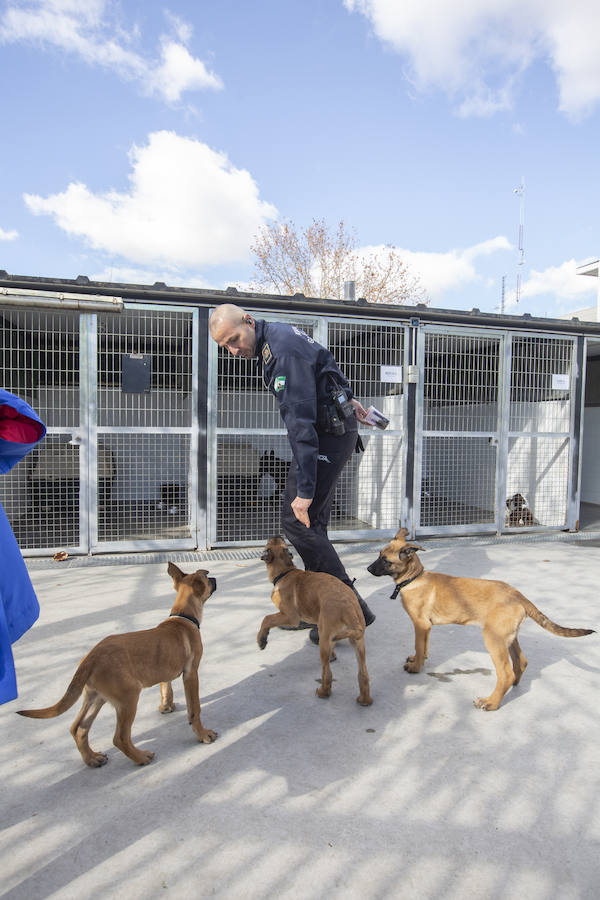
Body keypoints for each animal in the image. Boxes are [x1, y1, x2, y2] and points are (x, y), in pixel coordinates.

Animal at [15, 564, 218, 768]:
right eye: (207, 579)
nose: (215, 579)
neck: (182, 617)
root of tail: (91, 657)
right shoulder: (191, 673)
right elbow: (195, 709)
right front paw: (203, 735)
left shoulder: (166, 670)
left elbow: (165, 687)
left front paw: (166, 706)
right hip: (128, 698)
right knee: (119, 737)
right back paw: (141, 757)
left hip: (96, 697)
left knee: (78, 728)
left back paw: (92, 759)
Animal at [256, 536, 370, 704]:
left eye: (269, 545)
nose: (277, 534)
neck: (285, 571)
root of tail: (348, 606)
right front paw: (333, 655)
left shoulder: (290, 616)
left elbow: (267, 619)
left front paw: (262, 640)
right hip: (358, 643)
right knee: (363, 675)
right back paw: (365, 700)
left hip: (327, 638)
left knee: (327, 674)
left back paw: (323, 692)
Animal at [368, 528, 592, 712]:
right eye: (378, 555)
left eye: (386, 561)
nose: (368, 570)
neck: (414, 578)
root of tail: (519, 595)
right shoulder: (426, 627)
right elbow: (423, 648)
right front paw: (417, 659)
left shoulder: (420, 624)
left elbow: (419, 645)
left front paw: (415, 668)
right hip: (508, 637)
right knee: (521, 662)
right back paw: (511, 687)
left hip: (493, 638)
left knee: (506, 674)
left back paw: (491, 703)